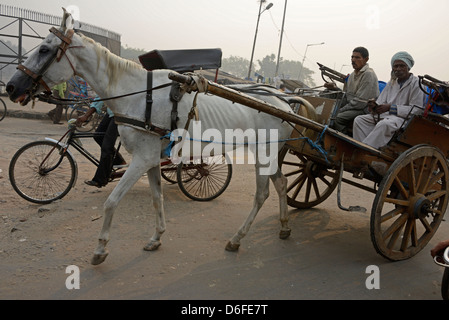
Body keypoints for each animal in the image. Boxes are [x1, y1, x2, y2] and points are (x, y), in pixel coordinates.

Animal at [7, 10, 294, 264]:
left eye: (44, 50)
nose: (11, 86)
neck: (136, 96)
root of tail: (285, 103)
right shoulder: (153, 159)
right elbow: (157, 199)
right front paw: (156, 237)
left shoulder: (142, 159)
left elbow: (111, 202)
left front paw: (100, 249)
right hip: (270, 154)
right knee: (281, 184)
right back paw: (284, 226)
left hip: (264, 151)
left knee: (261, 194)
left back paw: (237, 238)